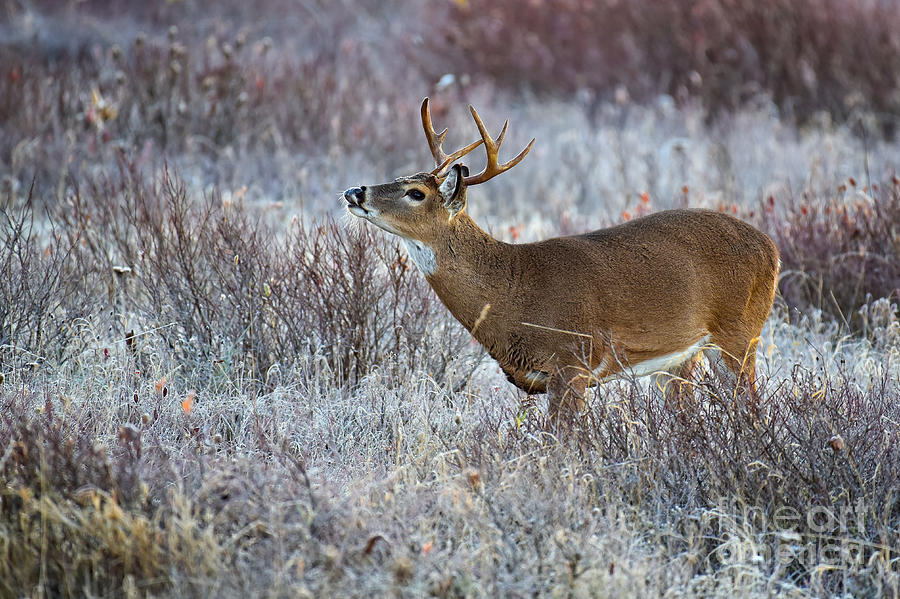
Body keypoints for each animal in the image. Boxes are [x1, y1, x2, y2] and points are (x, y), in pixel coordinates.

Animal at [344, 98, 780, 420]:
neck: (512, 293)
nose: (354, 191)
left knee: (752, 404)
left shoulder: (573, 360)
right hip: (683, 356)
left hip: (740, 332)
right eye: (400, 177)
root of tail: (771, 248)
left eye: (416, 193)